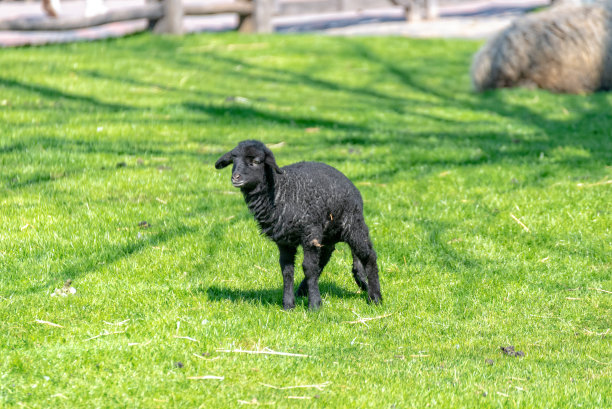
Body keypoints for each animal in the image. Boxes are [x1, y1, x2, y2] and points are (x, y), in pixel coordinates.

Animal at [213, 140, 380, 310]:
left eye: (256, 161)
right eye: (234, 160)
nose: (235, 177)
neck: (281, 191)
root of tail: (350, 183)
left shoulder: (310, 234)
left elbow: (308, 267)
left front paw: (315, 305)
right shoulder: (284, 241)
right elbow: (287, 270)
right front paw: (288, 305)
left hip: (352, 225)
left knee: (368, 256)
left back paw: (375, 297)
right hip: (327, 234)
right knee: (324, 258)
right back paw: (302, 290)